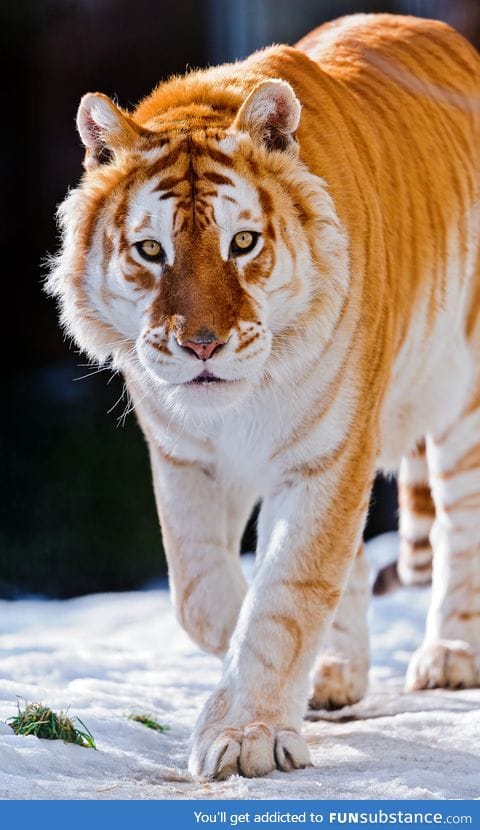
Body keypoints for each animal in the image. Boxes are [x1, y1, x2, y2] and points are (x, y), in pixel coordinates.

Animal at [47, 11, 480, 780]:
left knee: (462, 532)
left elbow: (284, 594)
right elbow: (204, 596)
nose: (202, 345)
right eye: (152, 251)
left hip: (465, 405)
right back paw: (337, 672)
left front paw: (246, 733)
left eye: (242, 243)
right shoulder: (184, 459)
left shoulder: (328, 457)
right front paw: (280, 678)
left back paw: (450, 656)